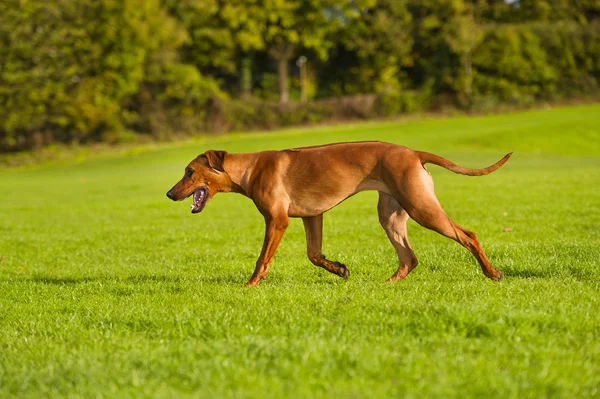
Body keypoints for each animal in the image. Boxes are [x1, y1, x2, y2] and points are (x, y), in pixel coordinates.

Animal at [165, 142, 510, 286]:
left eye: (189, 171)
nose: (169, 194)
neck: (248, 167)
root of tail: (413, 152)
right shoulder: (311, 216)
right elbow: (314, 254)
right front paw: (340, 269)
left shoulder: (277, 220)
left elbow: (262, 258)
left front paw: (250, 285)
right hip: (391, 214)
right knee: (409, 258)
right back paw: (388, 283)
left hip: (421, 208)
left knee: (468, 235)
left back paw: (492, 273)